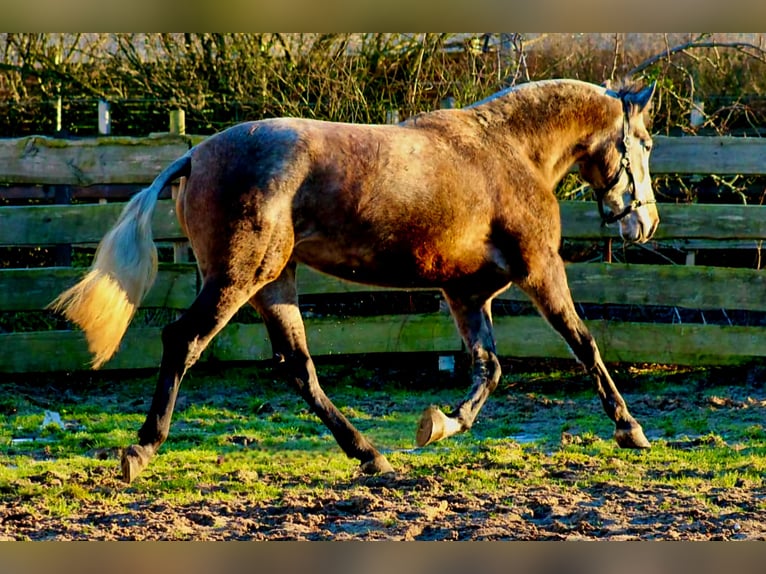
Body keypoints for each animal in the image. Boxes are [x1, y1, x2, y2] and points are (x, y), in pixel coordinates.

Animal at [48, 75, 660, 482]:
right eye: (647, 144)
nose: (645, 223)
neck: (508, 151)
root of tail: (195, 156)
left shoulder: (466, 294)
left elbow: (489, 369)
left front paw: (440, 423)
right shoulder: (540, 271)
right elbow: (583, 344)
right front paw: (630, 429)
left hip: (274, 283)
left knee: (297, 368)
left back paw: (369, 453)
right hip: (239, 277)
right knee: (184, 341)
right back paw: (141, 450)